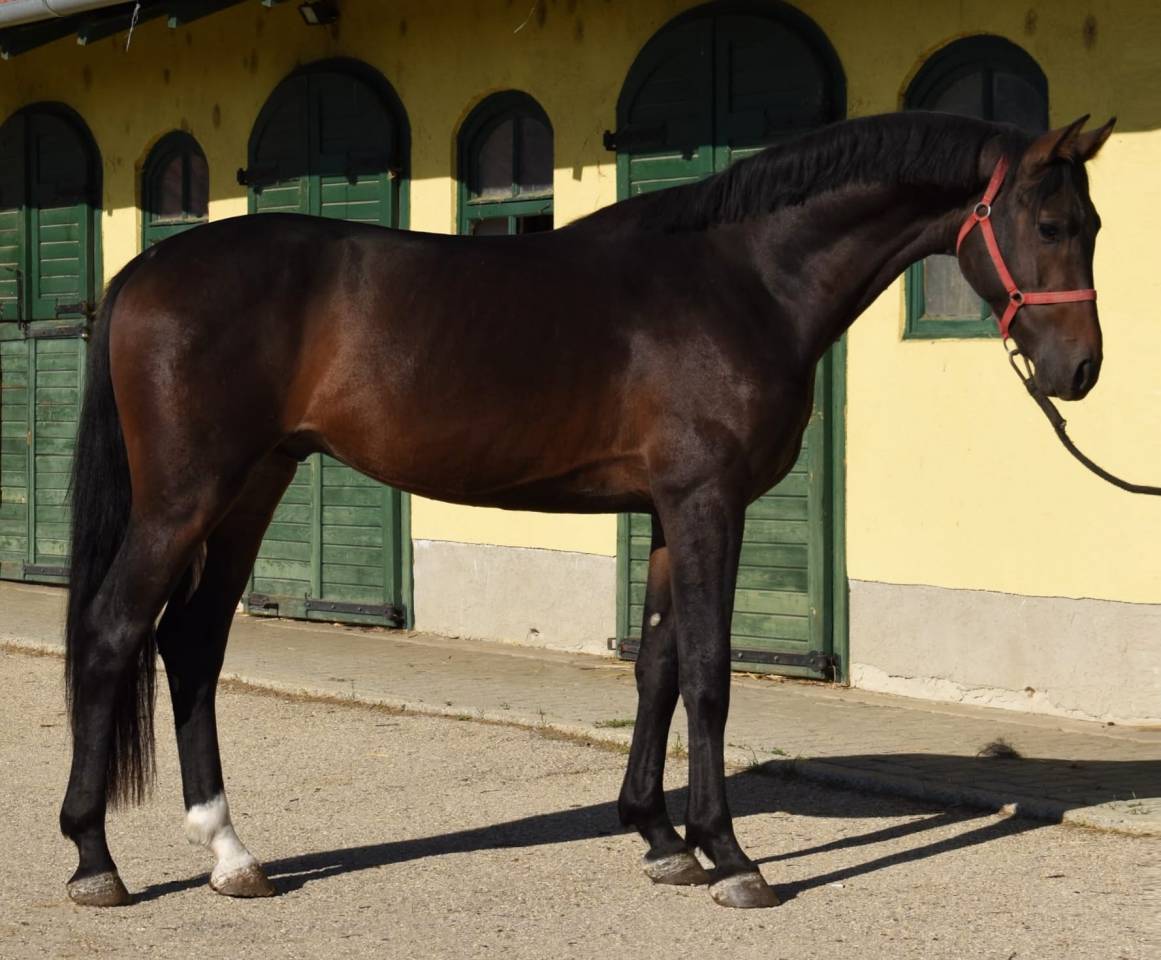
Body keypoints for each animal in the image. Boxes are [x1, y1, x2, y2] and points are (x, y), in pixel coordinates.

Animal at [59, 110, 1114, 909]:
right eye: (1048, 223)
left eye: (1095, 223)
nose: (1079, 370)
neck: (741, 279)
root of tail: (143, 272)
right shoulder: (706, 502)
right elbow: (709, 674)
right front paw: (731, 857)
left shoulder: (667, 511)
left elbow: (655, 667)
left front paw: (659, 839)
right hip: (186, 498)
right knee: (114, 633)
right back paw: (94, 861)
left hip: (253, 487)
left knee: (192, 644)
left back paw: (231, 854)